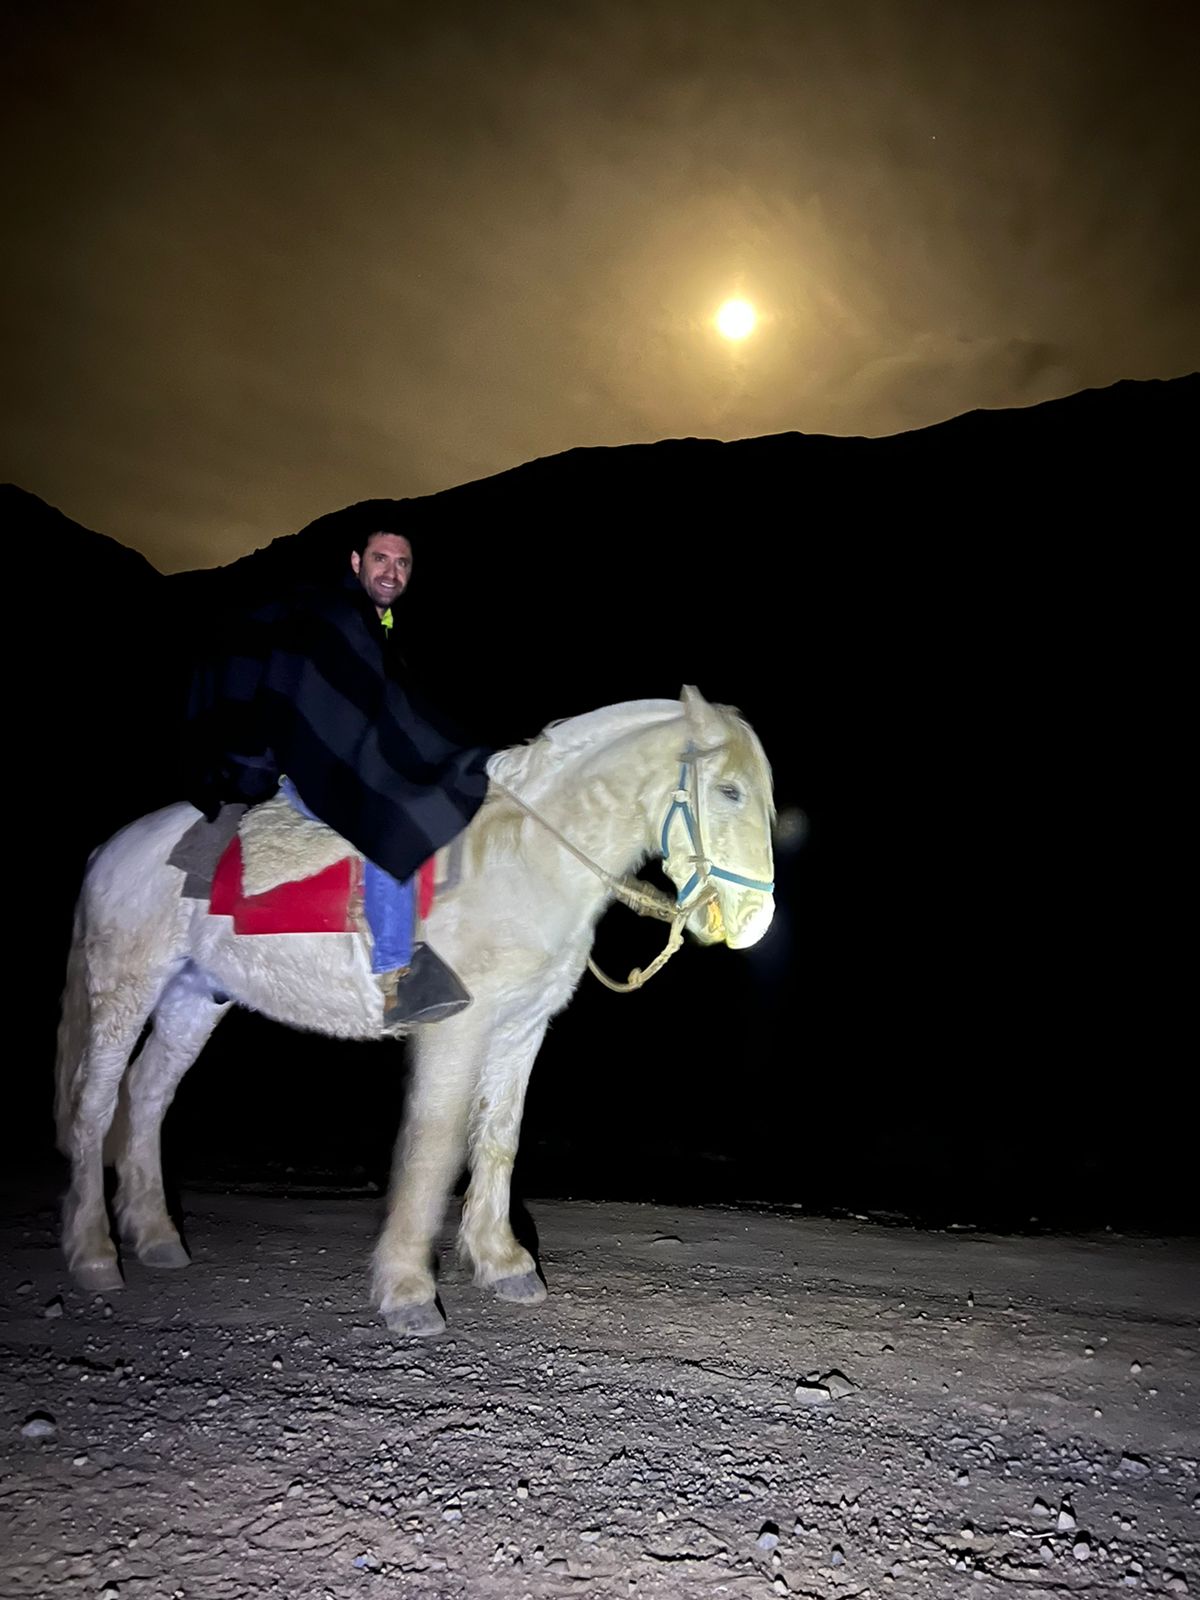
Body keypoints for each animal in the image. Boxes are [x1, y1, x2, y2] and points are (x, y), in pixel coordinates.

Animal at [56, 694, 780, 1331]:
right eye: (729, 792)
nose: (755, 921)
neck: (526, 859)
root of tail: (113, 850)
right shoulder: (457, 1028)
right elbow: (433, 1147)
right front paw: (407, 1290)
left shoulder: (522, 1029)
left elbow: (498, 1139)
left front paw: (502, 1263)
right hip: (125, 989)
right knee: (96, 1107)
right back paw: (93, 1254)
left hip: (191, 999)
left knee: (148, 1097)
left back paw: (155, 1236)